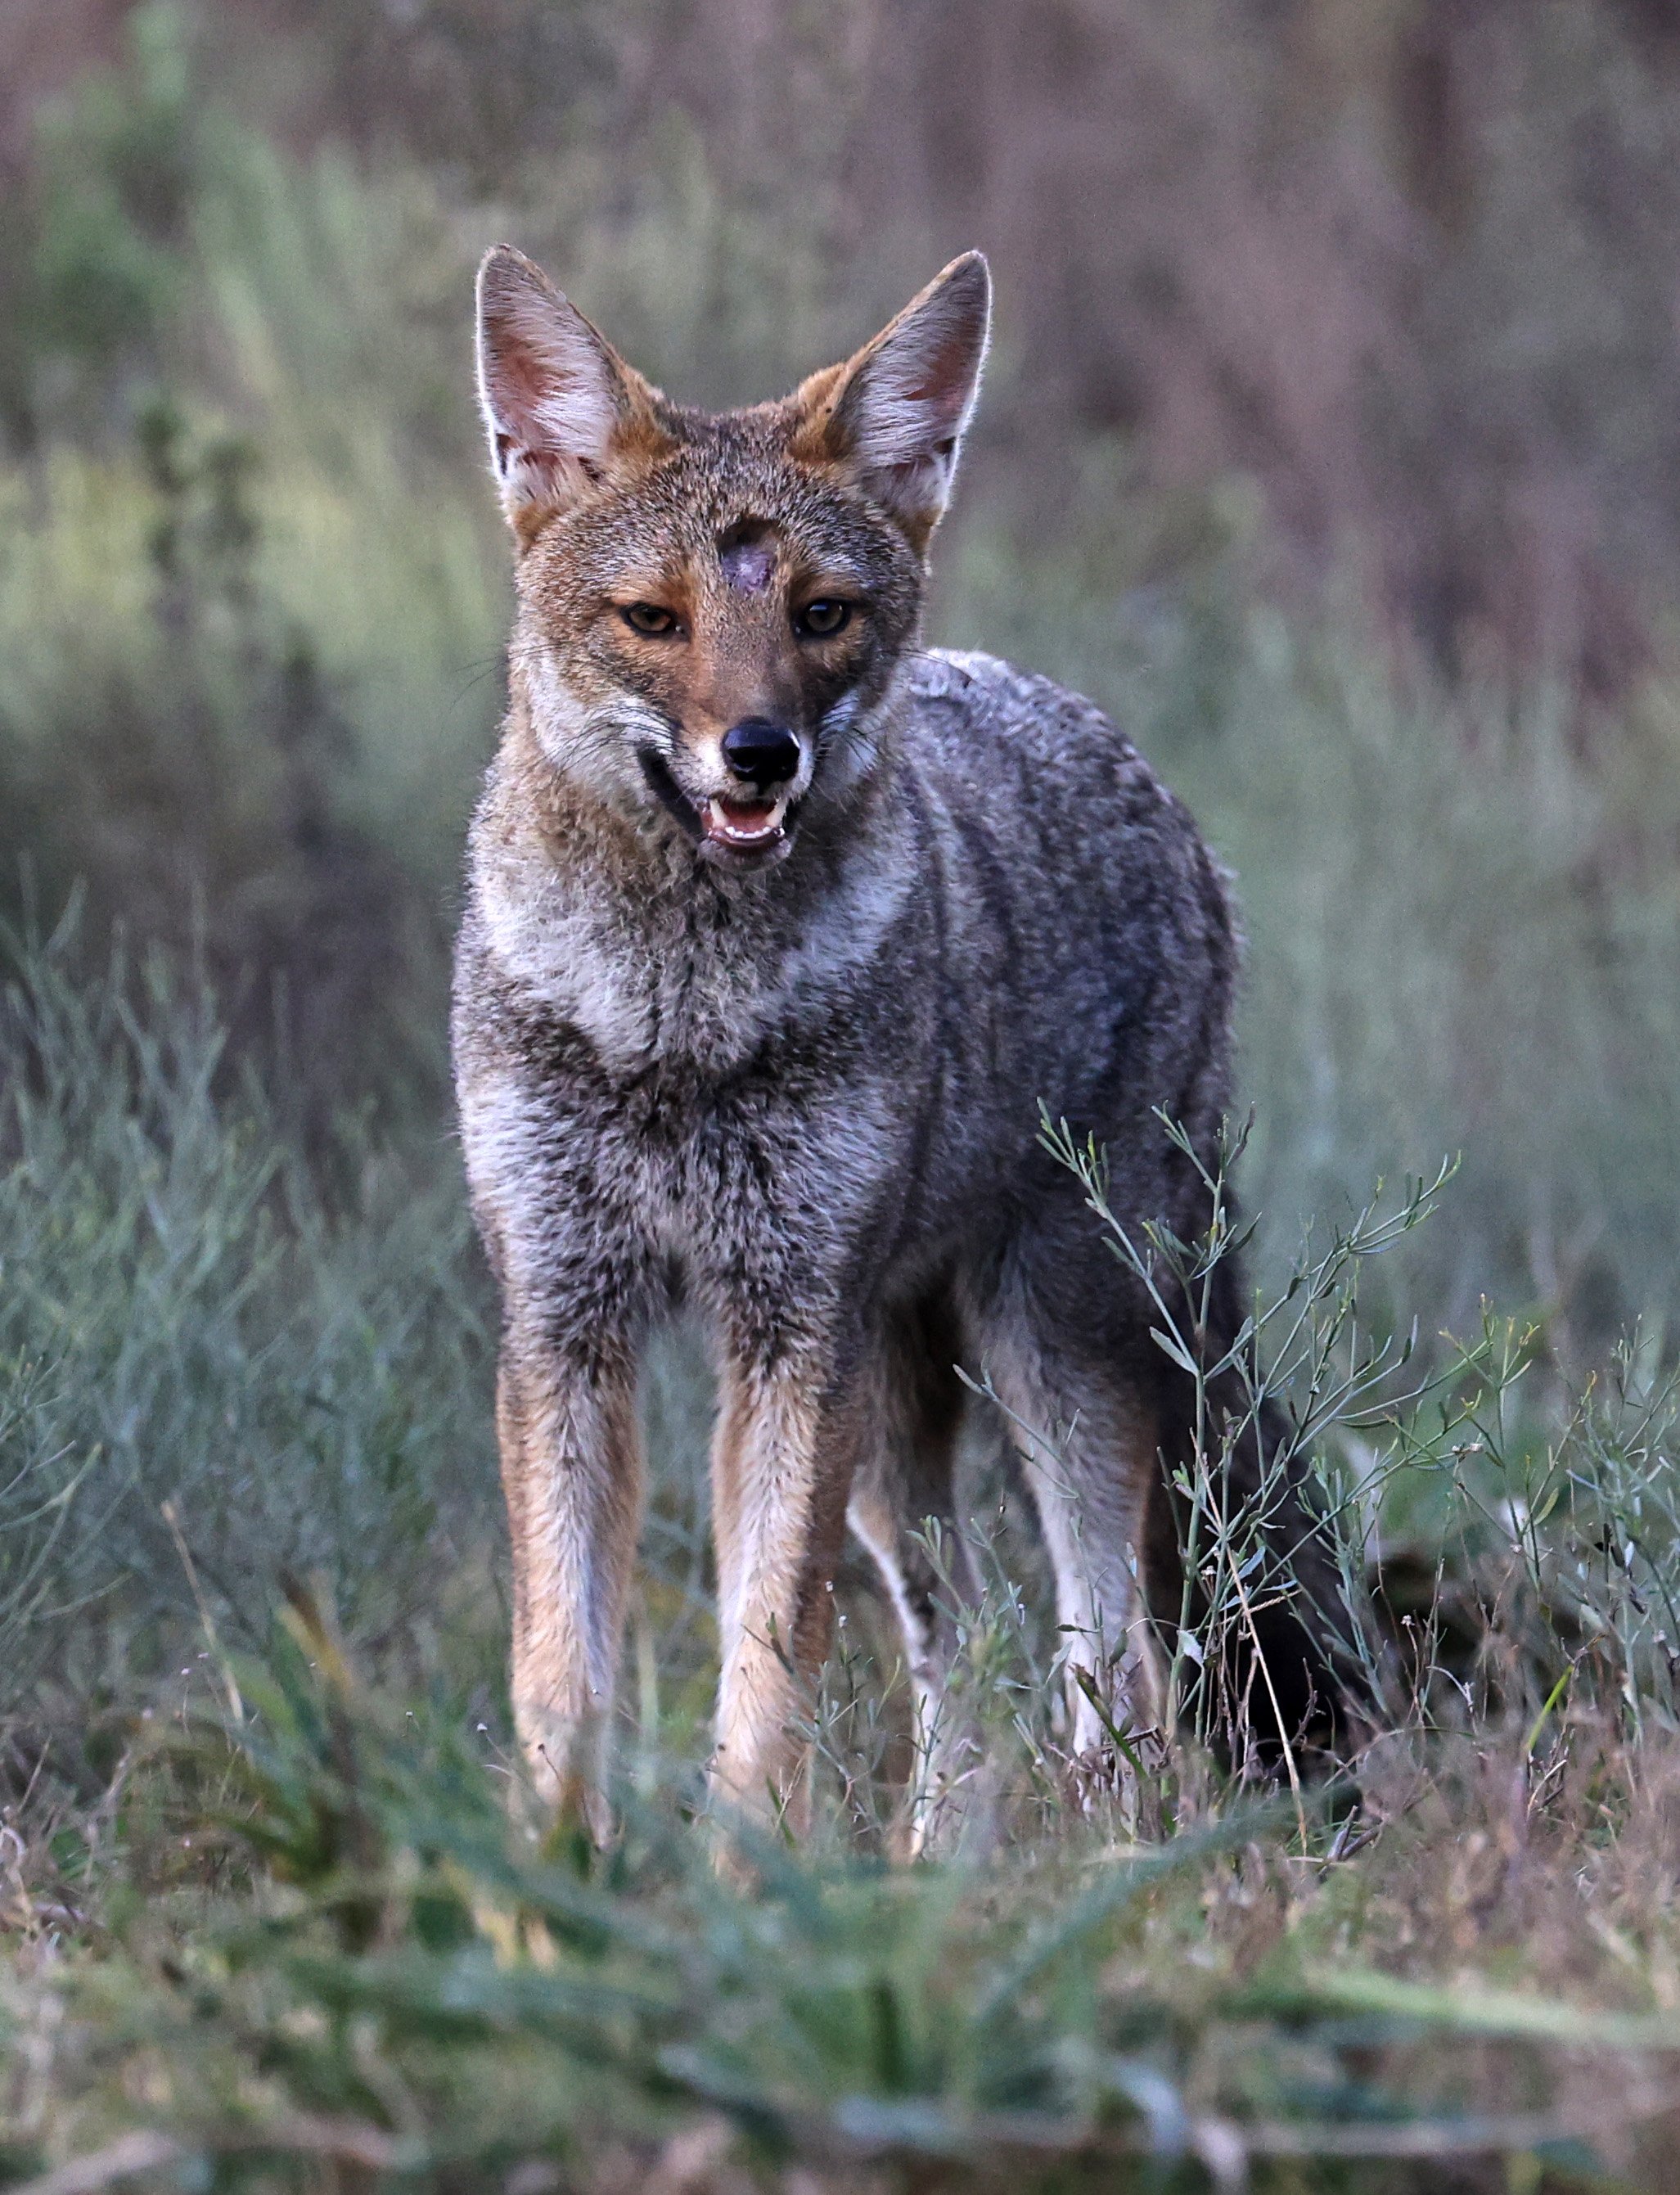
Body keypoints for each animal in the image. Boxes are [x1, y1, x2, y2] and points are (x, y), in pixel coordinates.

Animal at [453, 243, 1353, 1843]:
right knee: (968, 1638)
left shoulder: (788, 1330)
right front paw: (546, 1888)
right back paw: (947, 1864)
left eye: (820, 616)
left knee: (1110, 1650)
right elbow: (562, 1674)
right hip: (894, 1424)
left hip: (1053, 1351)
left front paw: (748, 1879)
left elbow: (766, 1674)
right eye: (653, 621)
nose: (759, 755)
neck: (674, 1017)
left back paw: (1101, 1853)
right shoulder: (565, 1321)